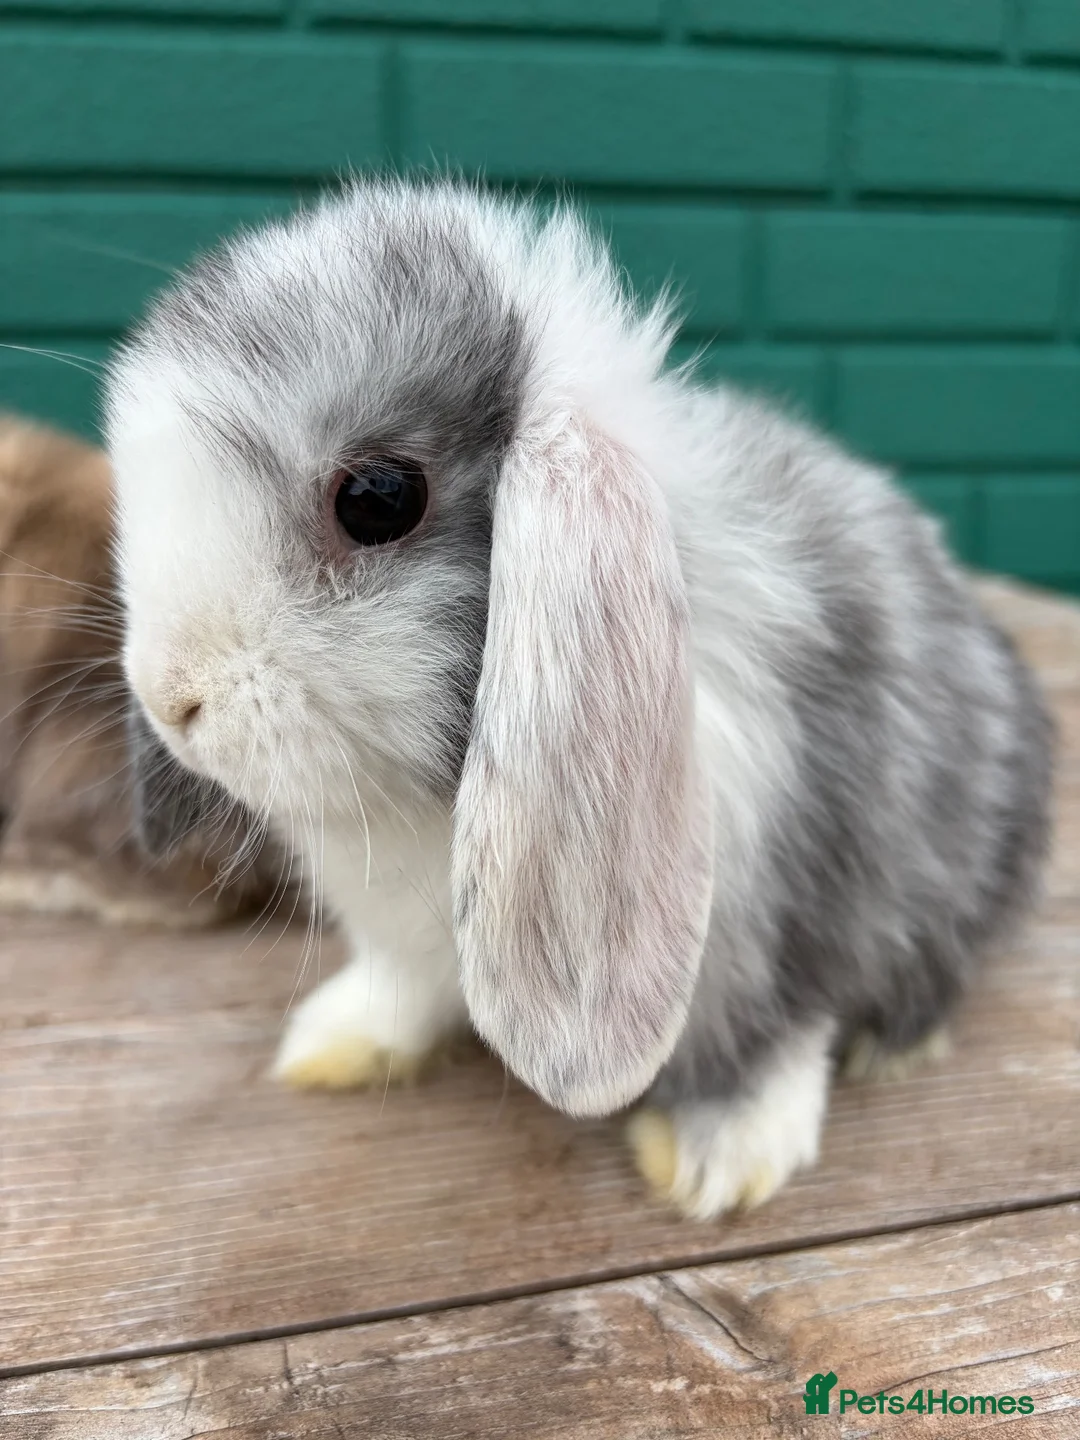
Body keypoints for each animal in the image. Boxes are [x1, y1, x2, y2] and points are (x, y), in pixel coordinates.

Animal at [104, 178, 1053, 1219]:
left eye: (379, 498)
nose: (170, 696)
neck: (426, 806)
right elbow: (401, 990)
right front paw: (333, 1043)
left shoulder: (784, 916)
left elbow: (771, 1036)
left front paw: (716, 1158)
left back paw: (897, 1047)